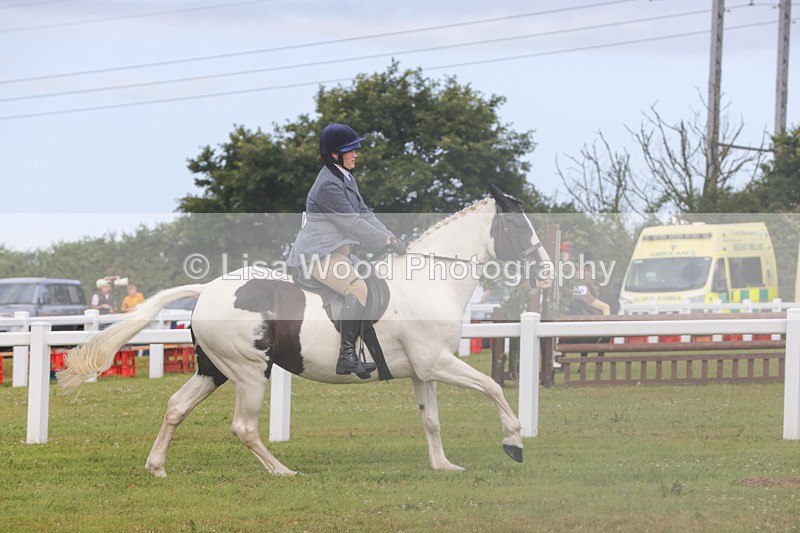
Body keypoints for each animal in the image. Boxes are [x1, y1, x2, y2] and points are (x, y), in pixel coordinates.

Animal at [58, 184, 550, 477]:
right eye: (516, 225)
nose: (545, 274)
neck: (430, 281)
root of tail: (206, 289)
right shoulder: (439, 362)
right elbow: (493, 387)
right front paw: (513, 443)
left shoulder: (423, 370)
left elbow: (431, 419)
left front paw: (444, 466)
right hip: (249, 373)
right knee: (243, 426)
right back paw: (280, 472)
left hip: (213, 370)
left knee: (177, 407)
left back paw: (157, 466)